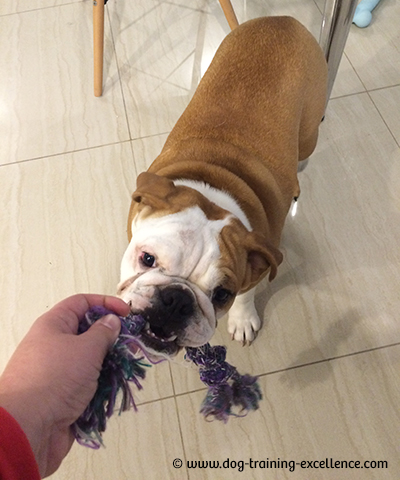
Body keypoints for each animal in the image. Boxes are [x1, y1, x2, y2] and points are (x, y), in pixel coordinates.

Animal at [116, 16, 328, 354]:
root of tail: (283, 20)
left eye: (222, 295)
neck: (212, 193)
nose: (176, 300)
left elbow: (247, 294)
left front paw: (242, 320)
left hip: (309, 131)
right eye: (147, 259)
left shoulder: (257, 266)